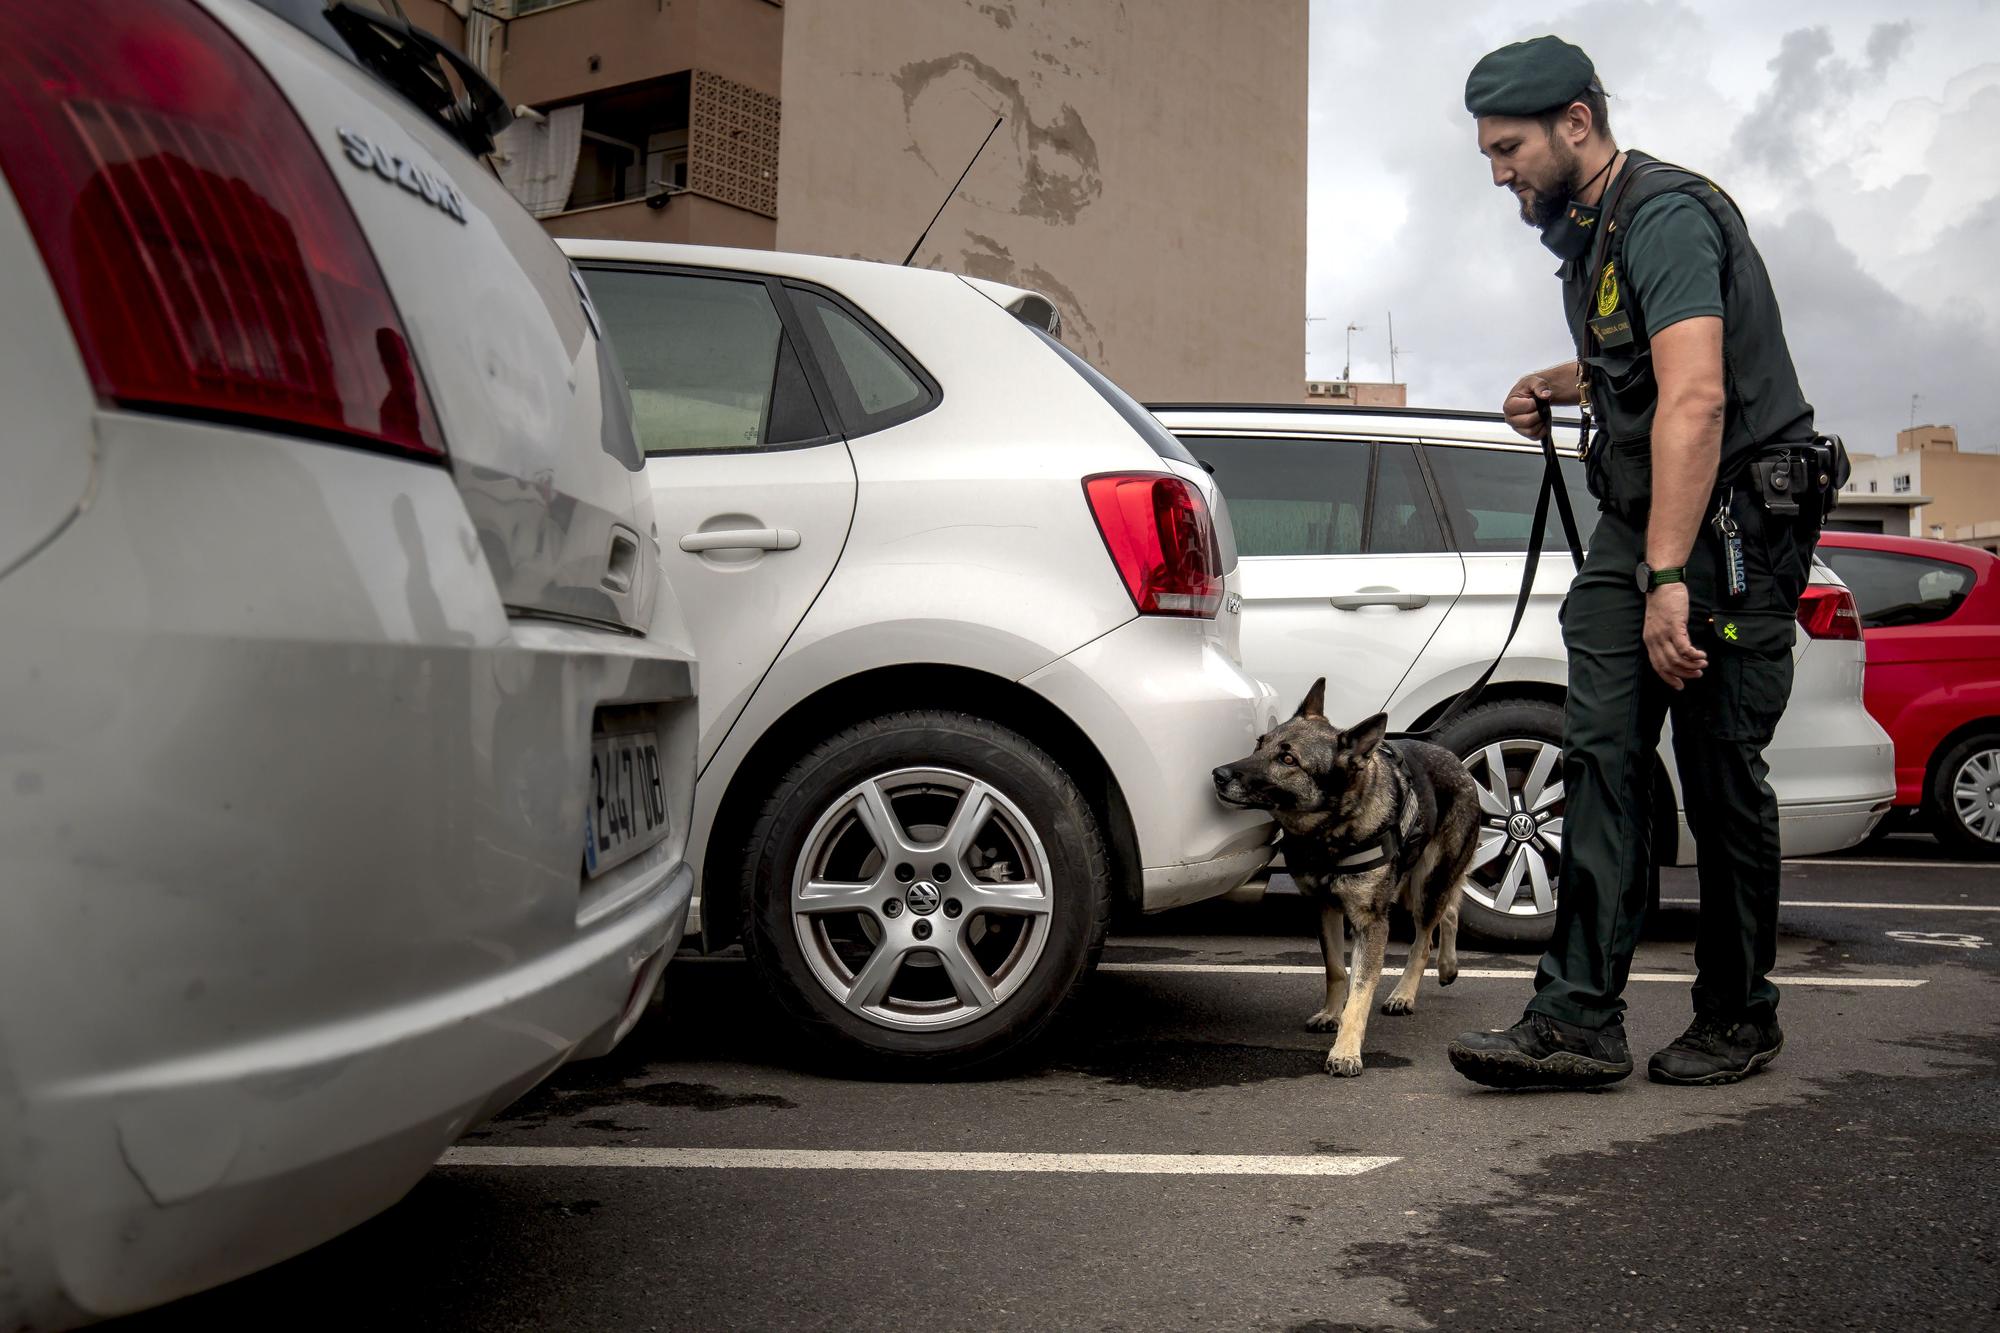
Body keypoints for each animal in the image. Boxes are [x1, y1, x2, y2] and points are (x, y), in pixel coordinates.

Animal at [1208, 680, 1480, 1072]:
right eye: (1260, 743)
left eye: (1288, 760)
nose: (1219, 774)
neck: (1332, 831)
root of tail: (1455, 760)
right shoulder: (1324, 910)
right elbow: (1336, 970)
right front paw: (1331, 1014)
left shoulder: (1372, 924)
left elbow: (1362, 990)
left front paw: (1346, 1049)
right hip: (1416, 889)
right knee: (1450, 910)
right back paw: (1448, 967)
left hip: (1427, 886)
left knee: (1424, 939)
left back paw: (1405, 993)